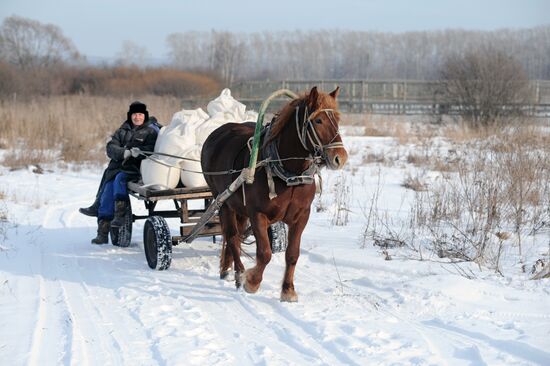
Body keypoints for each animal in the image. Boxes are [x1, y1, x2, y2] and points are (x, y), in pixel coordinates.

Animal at [202, 87, 350, 302]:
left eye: (337, 119)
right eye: (318, 120)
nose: (340, 158)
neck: (289, 175)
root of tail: (217, 133)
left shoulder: (302, 215)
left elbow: (292, 253)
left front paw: (288, 290)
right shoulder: (257, 214)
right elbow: (264, 253)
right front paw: (252, 282)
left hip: (239, 207)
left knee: (236, 236)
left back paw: (227, 269)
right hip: (223, 201)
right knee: (232, 237)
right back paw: (239, 274)